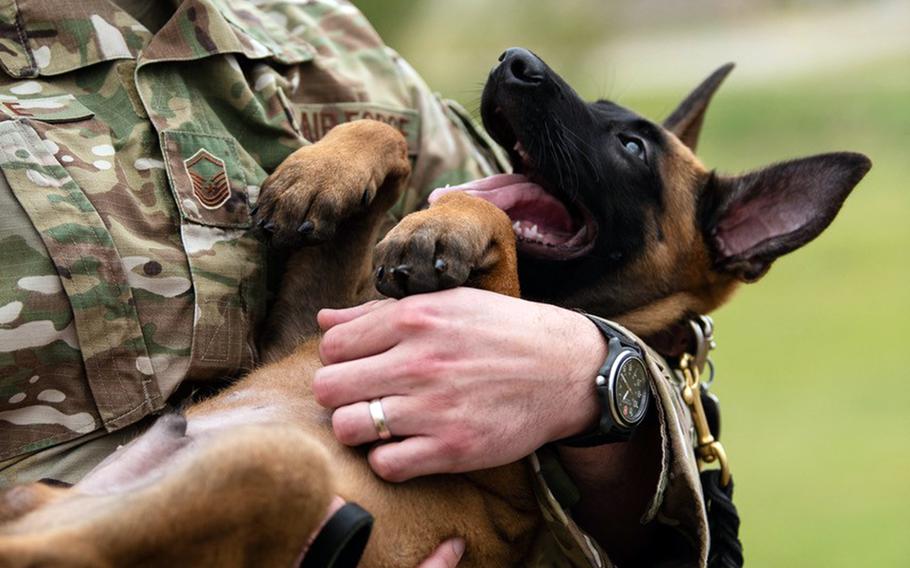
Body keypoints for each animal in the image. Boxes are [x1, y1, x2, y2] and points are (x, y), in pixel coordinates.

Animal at [0, 50, 872, 568]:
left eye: (631, 147)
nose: (516, 61)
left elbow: (499, 242)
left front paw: (443, 226)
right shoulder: (304, 329)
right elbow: (384, 136)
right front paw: (325, 172)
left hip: (274, 475)